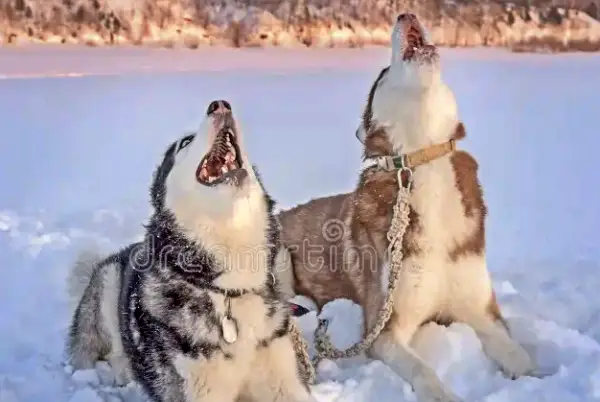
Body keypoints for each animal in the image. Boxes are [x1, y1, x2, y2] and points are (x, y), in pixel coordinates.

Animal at [278, 12, 536, 402]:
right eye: (384, 71)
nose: (406, 15)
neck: (422, 157)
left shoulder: (482, 312)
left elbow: (519, 357)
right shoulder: (384, 331)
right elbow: (423, 370)